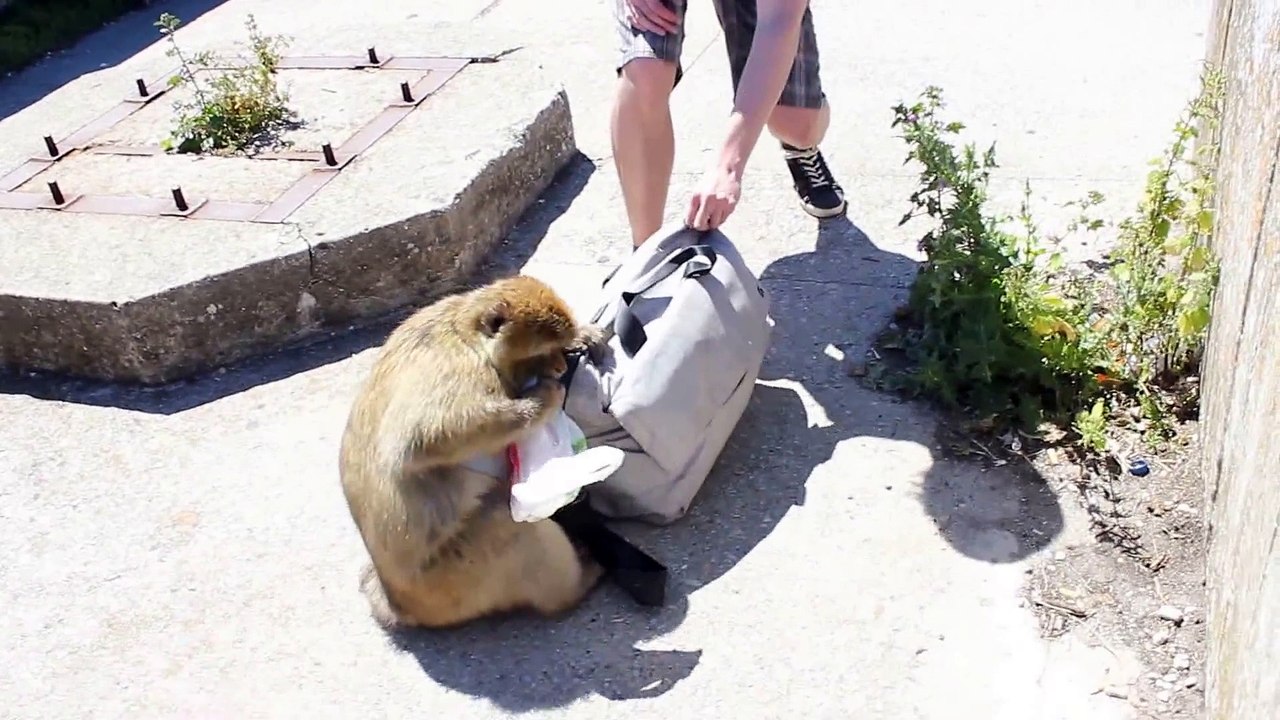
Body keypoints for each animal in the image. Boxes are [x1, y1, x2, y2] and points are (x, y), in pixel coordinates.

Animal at [338, 274, 610, 630]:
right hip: (455, 580)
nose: (560, 365)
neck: (466, 332)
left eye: (557, 347)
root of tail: (397, 602)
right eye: (542, 352)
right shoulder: (463, 371)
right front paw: (544, 399)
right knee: (508, 523)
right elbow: (425, 438)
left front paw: (582, 335)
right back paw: (572, 589)